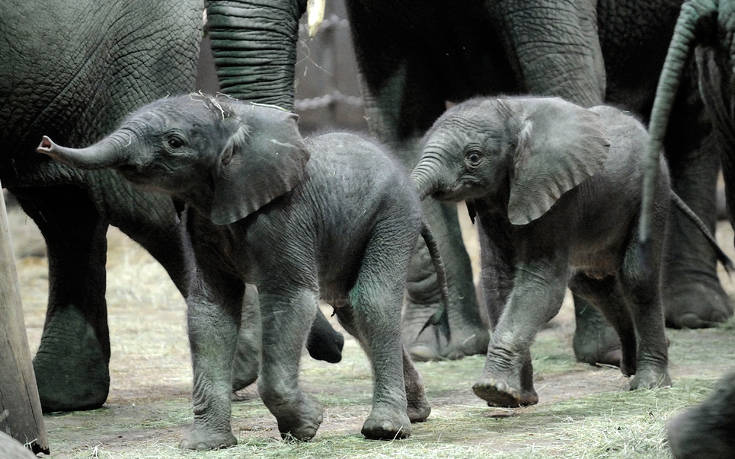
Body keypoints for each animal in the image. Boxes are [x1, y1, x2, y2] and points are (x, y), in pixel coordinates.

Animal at [36, 95, 436, 452]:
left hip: (392, 216)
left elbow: (289, 299)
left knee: (372, 301)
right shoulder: (200, 225)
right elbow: (210, 310)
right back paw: (416, 413)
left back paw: (386, 430)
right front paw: (205, 444)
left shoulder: (286, 219)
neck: (236, 116)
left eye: (174, 142)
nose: (44, 142)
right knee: (352, 312)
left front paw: (306, 426)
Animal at [236, 0, 732, 364]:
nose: (334, 348)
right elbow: (400, 116)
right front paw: (436, 349)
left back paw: (695, 314)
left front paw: (603, 351)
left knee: (692, 113)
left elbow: (562, 72)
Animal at [414, 95, 732, 408]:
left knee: (637, 277)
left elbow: (541, 284)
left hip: (652, 193)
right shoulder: (492, 203)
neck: (514, 114)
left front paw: (492, 390)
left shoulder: (556, 195)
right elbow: (500, 281)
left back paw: (649, 384)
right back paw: (628, 364)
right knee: (588, 283)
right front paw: (518, 398)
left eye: (474, 157)